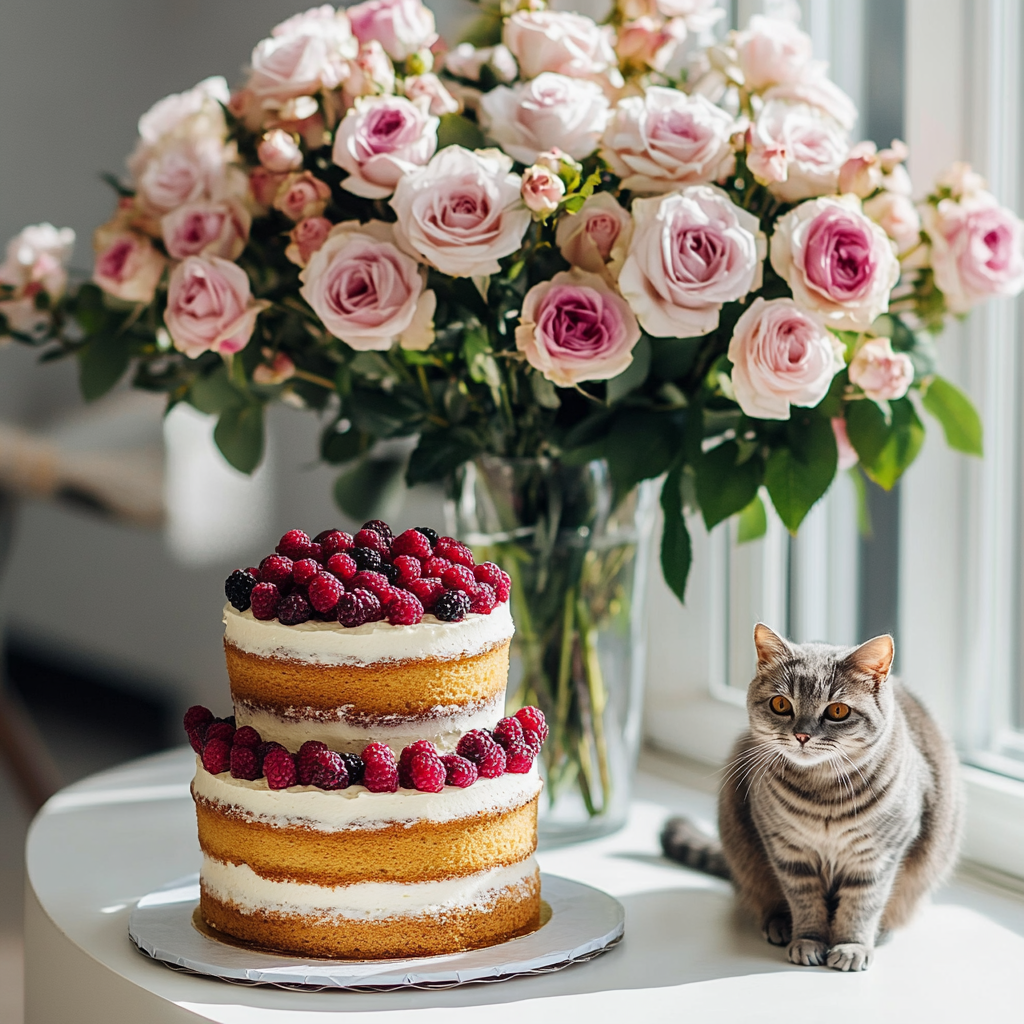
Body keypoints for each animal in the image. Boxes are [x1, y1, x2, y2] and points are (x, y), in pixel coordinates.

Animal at [659, 618, 962, 970]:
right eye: (781, 704)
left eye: (838, 711)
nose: (801, 735)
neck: (823, 792)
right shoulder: (788, 851)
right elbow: (803, 901)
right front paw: (807, 940)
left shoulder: (877, 856)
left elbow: (862, 905)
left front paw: (852, 946)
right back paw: (779, 924)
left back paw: (880, 932)